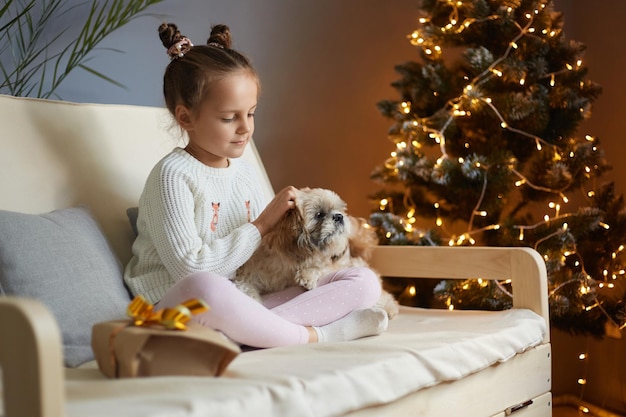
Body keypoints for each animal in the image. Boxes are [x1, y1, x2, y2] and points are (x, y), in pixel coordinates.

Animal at [232, 187, 398, 316]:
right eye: (319, 214)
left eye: (340, 210)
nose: (339, 216)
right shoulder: (247, 277)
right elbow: (247, 290)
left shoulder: (330, 265)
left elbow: (319, 267)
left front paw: (307, 275)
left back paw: (389, 309)